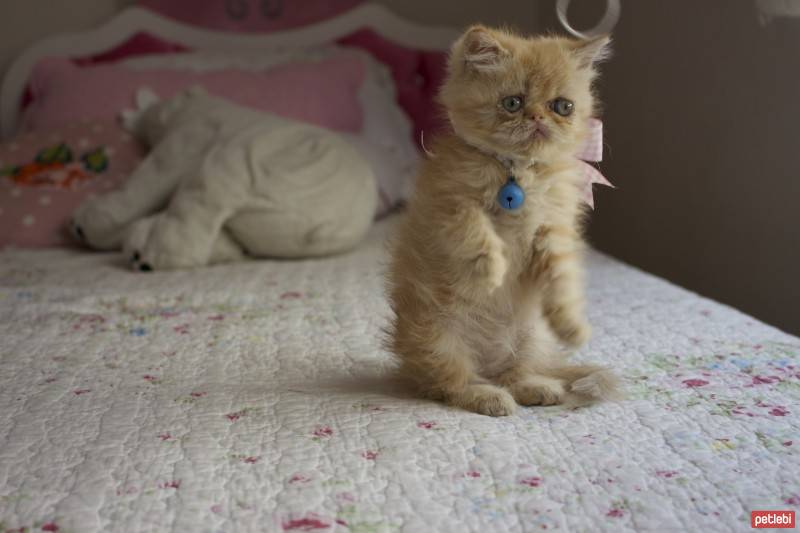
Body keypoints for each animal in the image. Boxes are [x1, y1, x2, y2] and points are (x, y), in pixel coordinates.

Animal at [386, 25, 620, 416]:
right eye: (513, 103)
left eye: (563, 106)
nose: (538, 117)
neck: (516, 172)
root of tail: (487, 362)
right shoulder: (447, 206)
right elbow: (475, 229)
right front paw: (491, 270)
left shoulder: (554, 227)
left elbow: (562, 277)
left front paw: (571, 326)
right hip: (436, 335)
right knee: (450, 384)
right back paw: (488, 396)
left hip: (529, 338)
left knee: (514, 374)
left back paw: (537, 387)